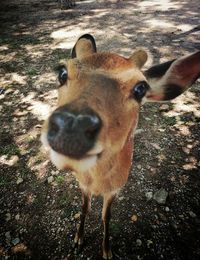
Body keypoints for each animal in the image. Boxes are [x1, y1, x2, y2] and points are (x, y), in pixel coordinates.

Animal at [41, 34, 200, 258]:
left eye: (141, 88)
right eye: (62, 73)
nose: (72, 124)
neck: (98, 184)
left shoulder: (116, 188)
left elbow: (106, 216)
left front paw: (107, 251)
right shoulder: (82, 183)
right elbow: (84, 208)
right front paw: (78, 240)